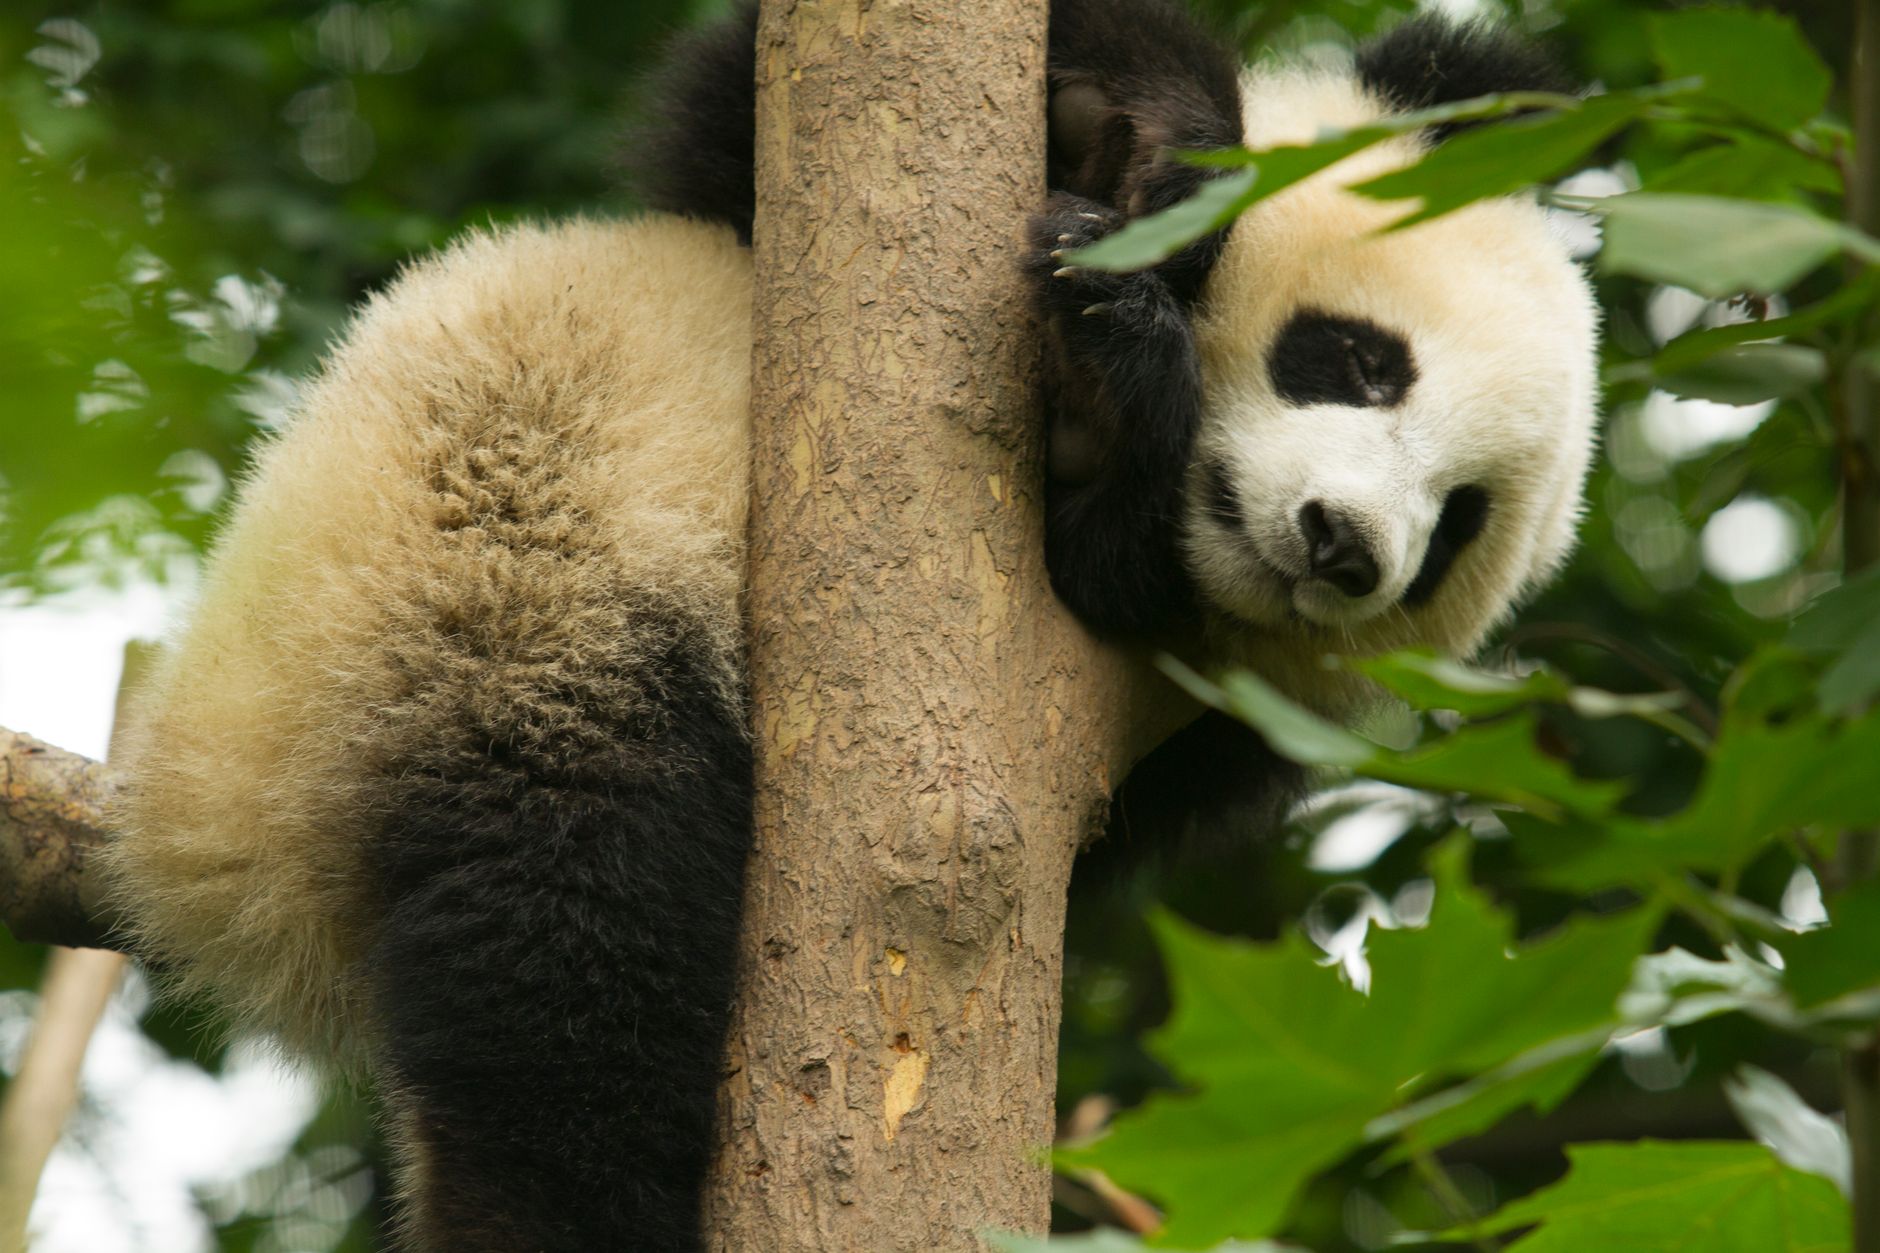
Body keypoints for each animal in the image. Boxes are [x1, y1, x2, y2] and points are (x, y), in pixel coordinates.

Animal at [103, 1, 1598, 1250]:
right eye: (1355, 358)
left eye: (1455, 523)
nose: (1348, 547)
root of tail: (217, 870)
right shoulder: (747, 218)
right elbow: (729, 131)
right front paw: (1147, 153)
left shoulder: (1204, 729)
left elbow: (1112, 594)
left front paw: (1119, 387)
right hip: (473, 587)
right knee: (577, 954)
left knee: (572, 960)